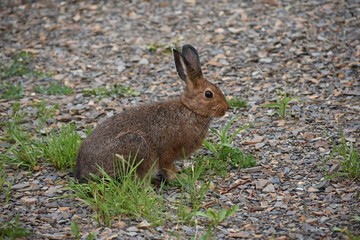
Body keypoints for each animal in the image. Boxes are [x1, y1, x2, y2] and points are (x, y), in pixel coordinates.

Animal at [74, 44, 229, 182]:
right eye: (208, 94)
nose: (226, 108)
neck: (190, 109)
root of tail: (82, 171)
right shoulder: (167, 151)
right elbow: (167, 167)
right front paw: (178, 178)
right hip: (136, 145)